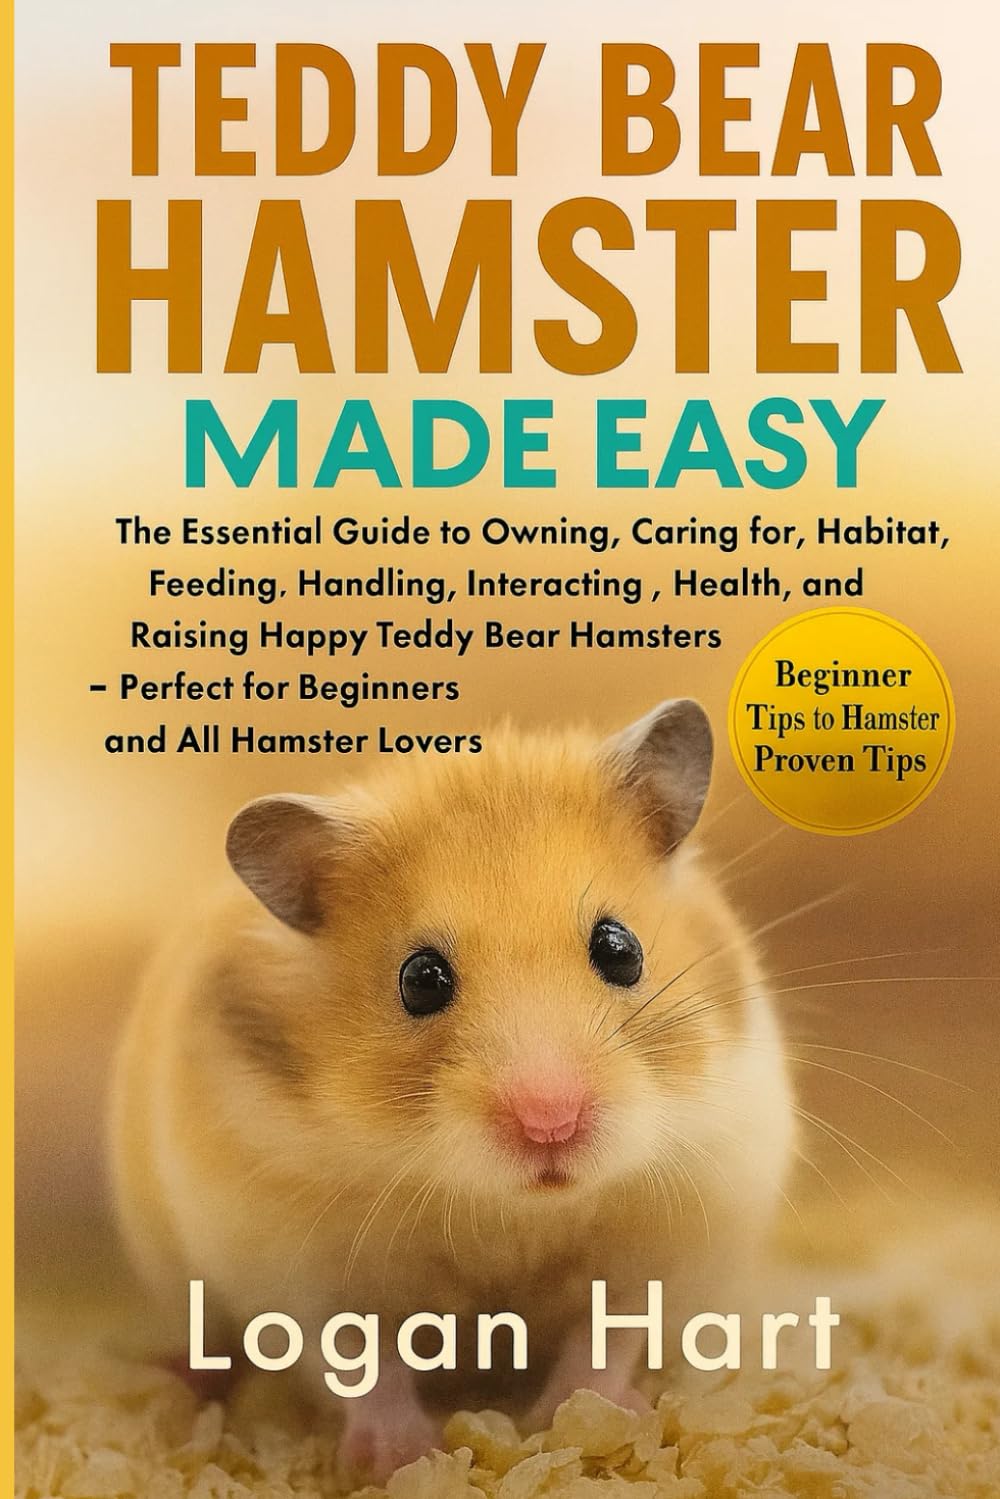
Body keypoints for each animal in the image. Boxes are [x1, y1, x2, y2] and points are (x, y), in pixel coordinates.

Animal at [110, 699, 794, 1482]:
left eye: (620, 949)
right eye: (421, 979)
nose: (551, 1122)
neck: (506, 1208)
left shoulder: (667, 1234)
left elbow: (609, 1331)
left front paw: (579, 1418)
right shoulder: (294, 1263)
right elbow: (360, 1359)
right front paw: (403, 1457)